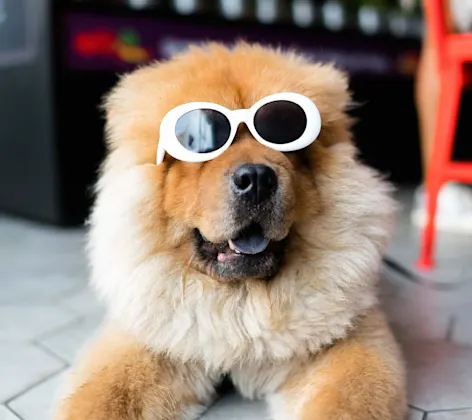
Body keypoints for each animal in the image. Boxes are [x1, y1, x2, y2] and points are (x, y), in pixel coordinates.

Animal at [55, 43, 408, 420]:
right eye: (199, 142)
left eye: (284, 133)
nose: (256, 178)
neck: (240, 299)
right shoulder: (146, 340)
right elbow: (103, 399)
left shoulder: (349, 340)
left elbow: (344, 403)